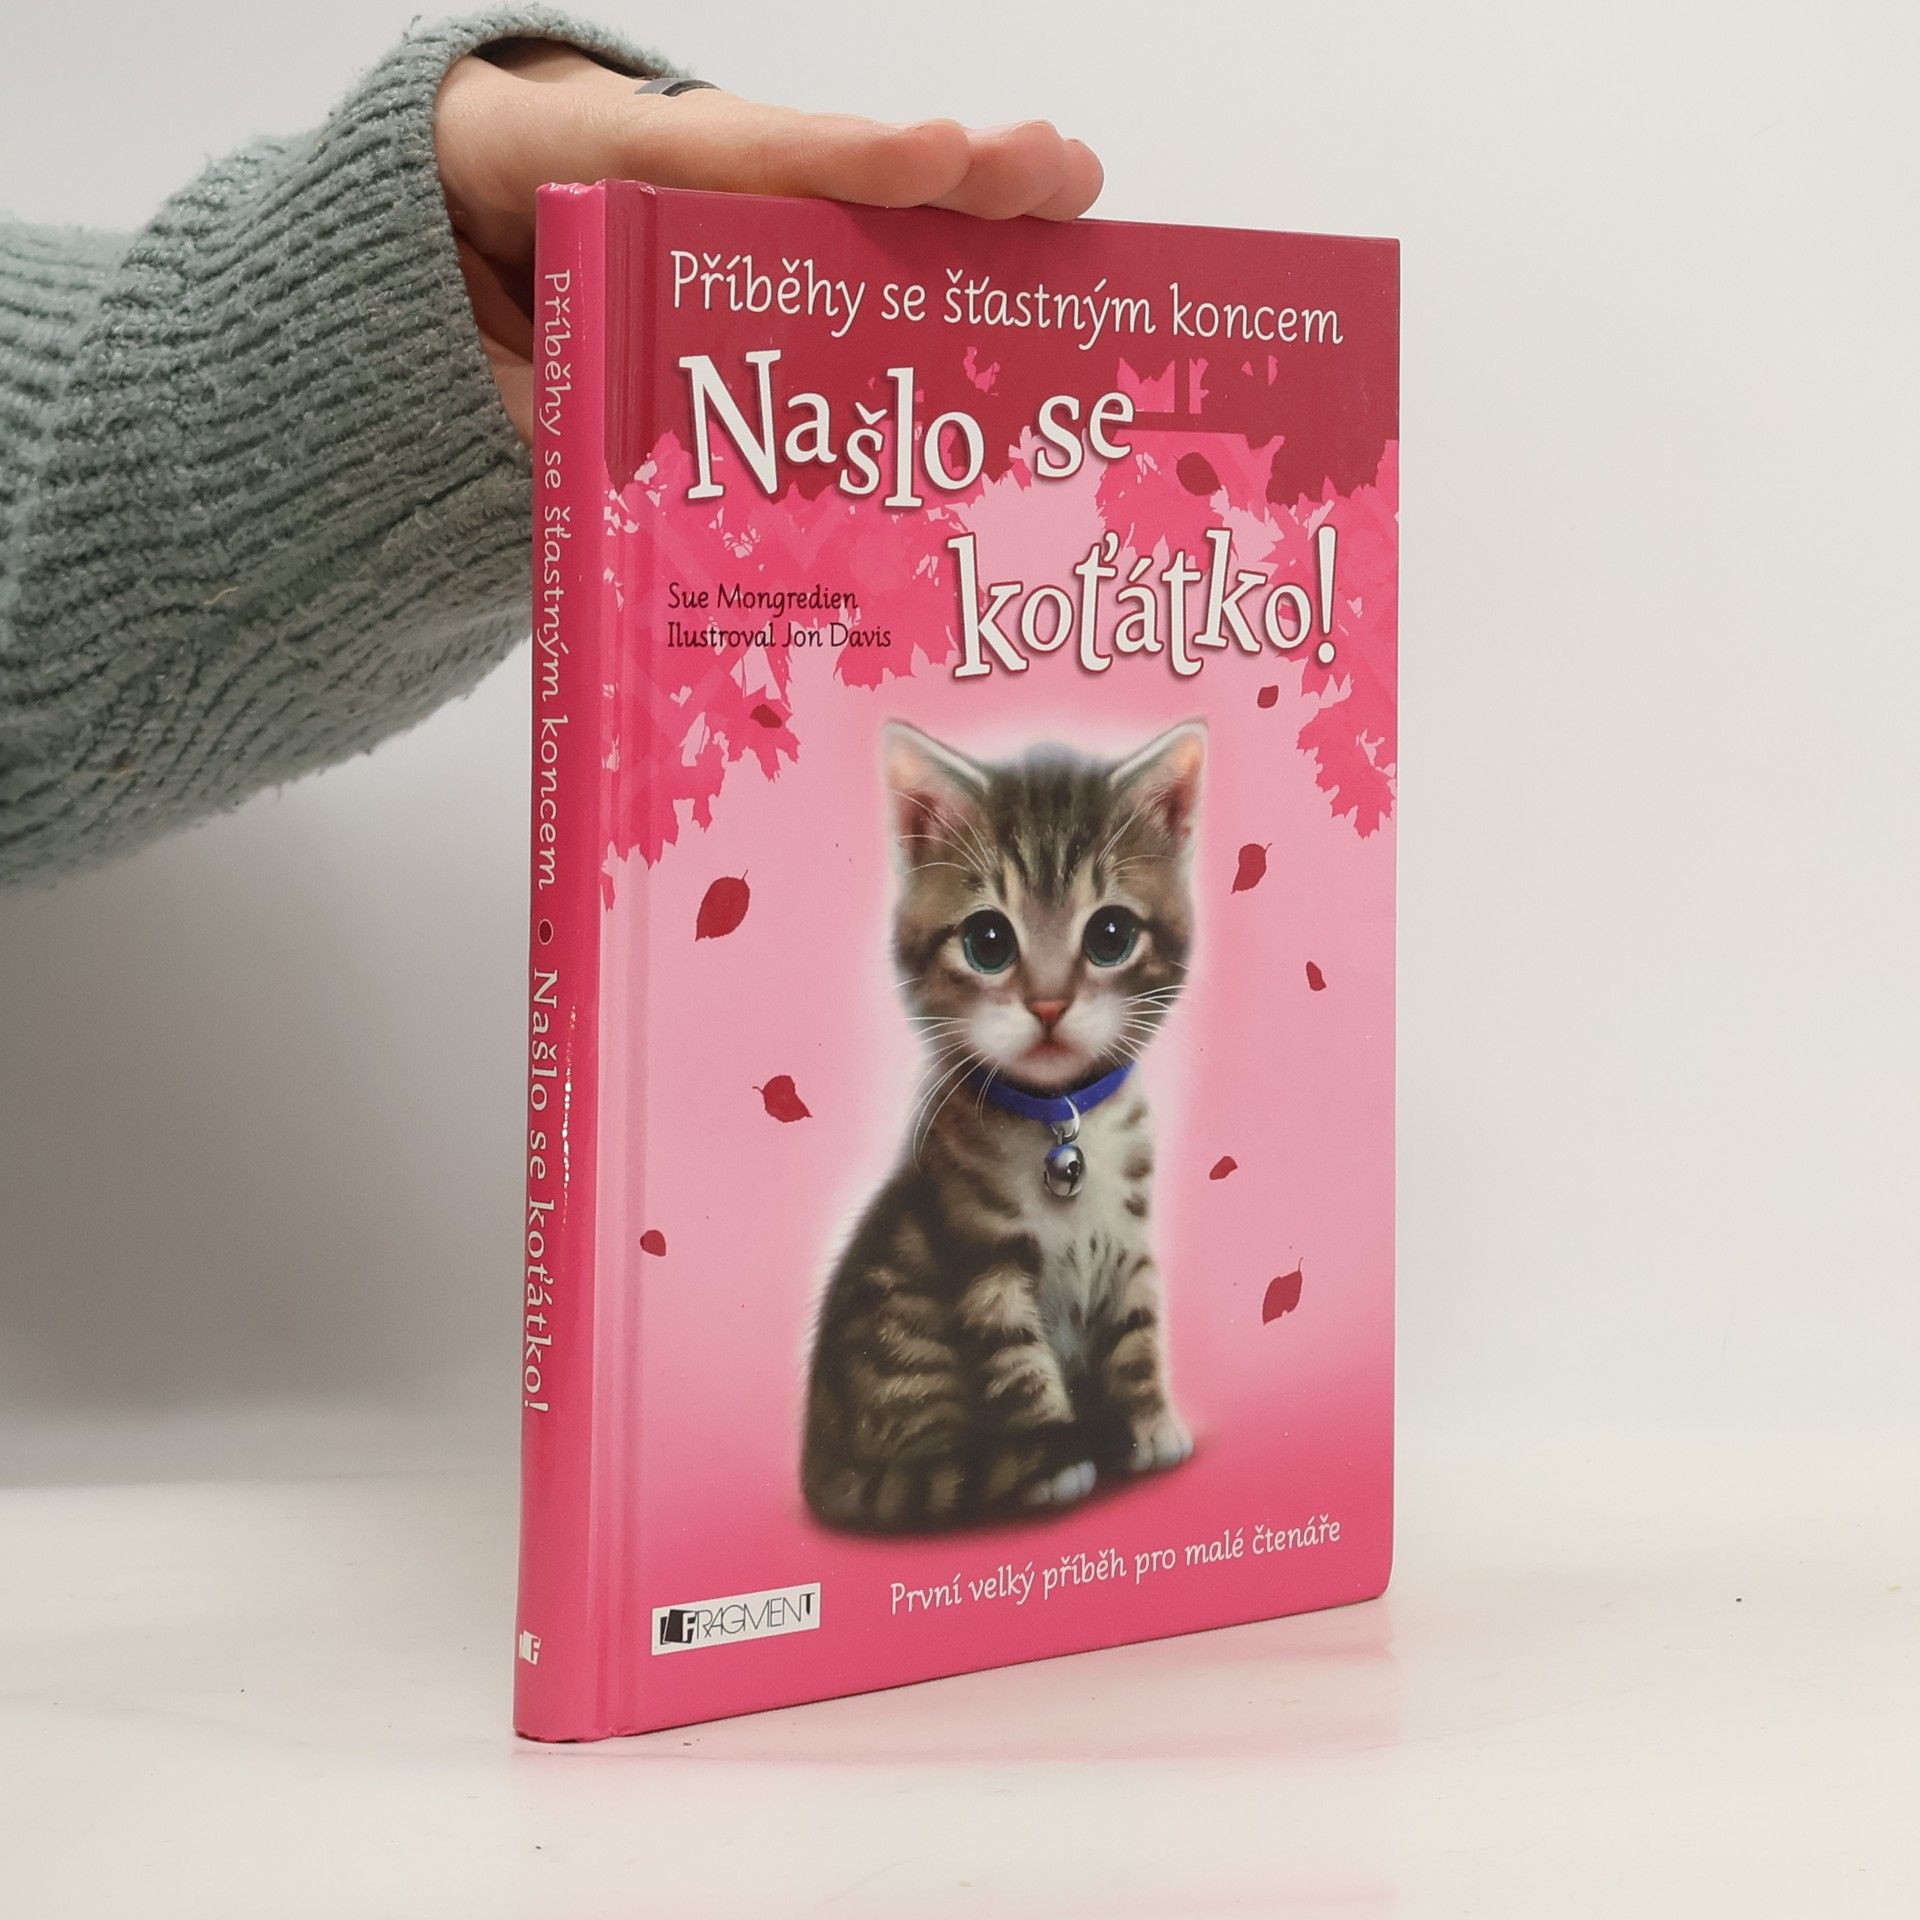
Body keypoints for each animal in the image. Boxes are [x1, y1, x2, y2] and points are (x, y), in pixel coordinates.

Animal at [802, 718, 1205, 1533]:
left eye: (1110, 934)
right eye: (988, 942)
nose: (1048, 1004)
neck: (1062, 1118)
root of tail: (824, 1463)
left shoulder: (1132, 1243)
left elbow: (1137, 1332)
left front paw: (1150, 1424)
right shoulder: (981, 1259)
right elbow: (1016, 1366)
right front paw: (1056, 1462)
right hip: (903, 1327)